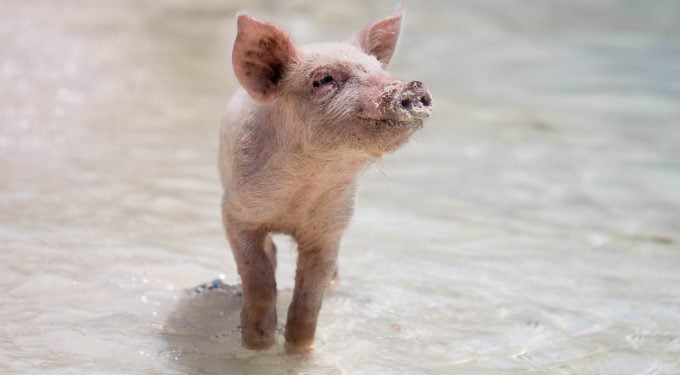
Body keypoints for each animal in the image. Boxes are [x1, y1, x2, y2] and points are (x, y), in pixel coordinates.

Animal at [220, 8, 432, 350]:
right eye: (324, 79)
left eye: (378, 69)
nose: (412, 87)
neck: (305, 186)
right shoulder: (235, 212)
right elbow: (259, 275)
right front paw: (258, 342)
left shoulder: (330, 229)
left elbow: (310, 297)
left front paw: (297, 348)